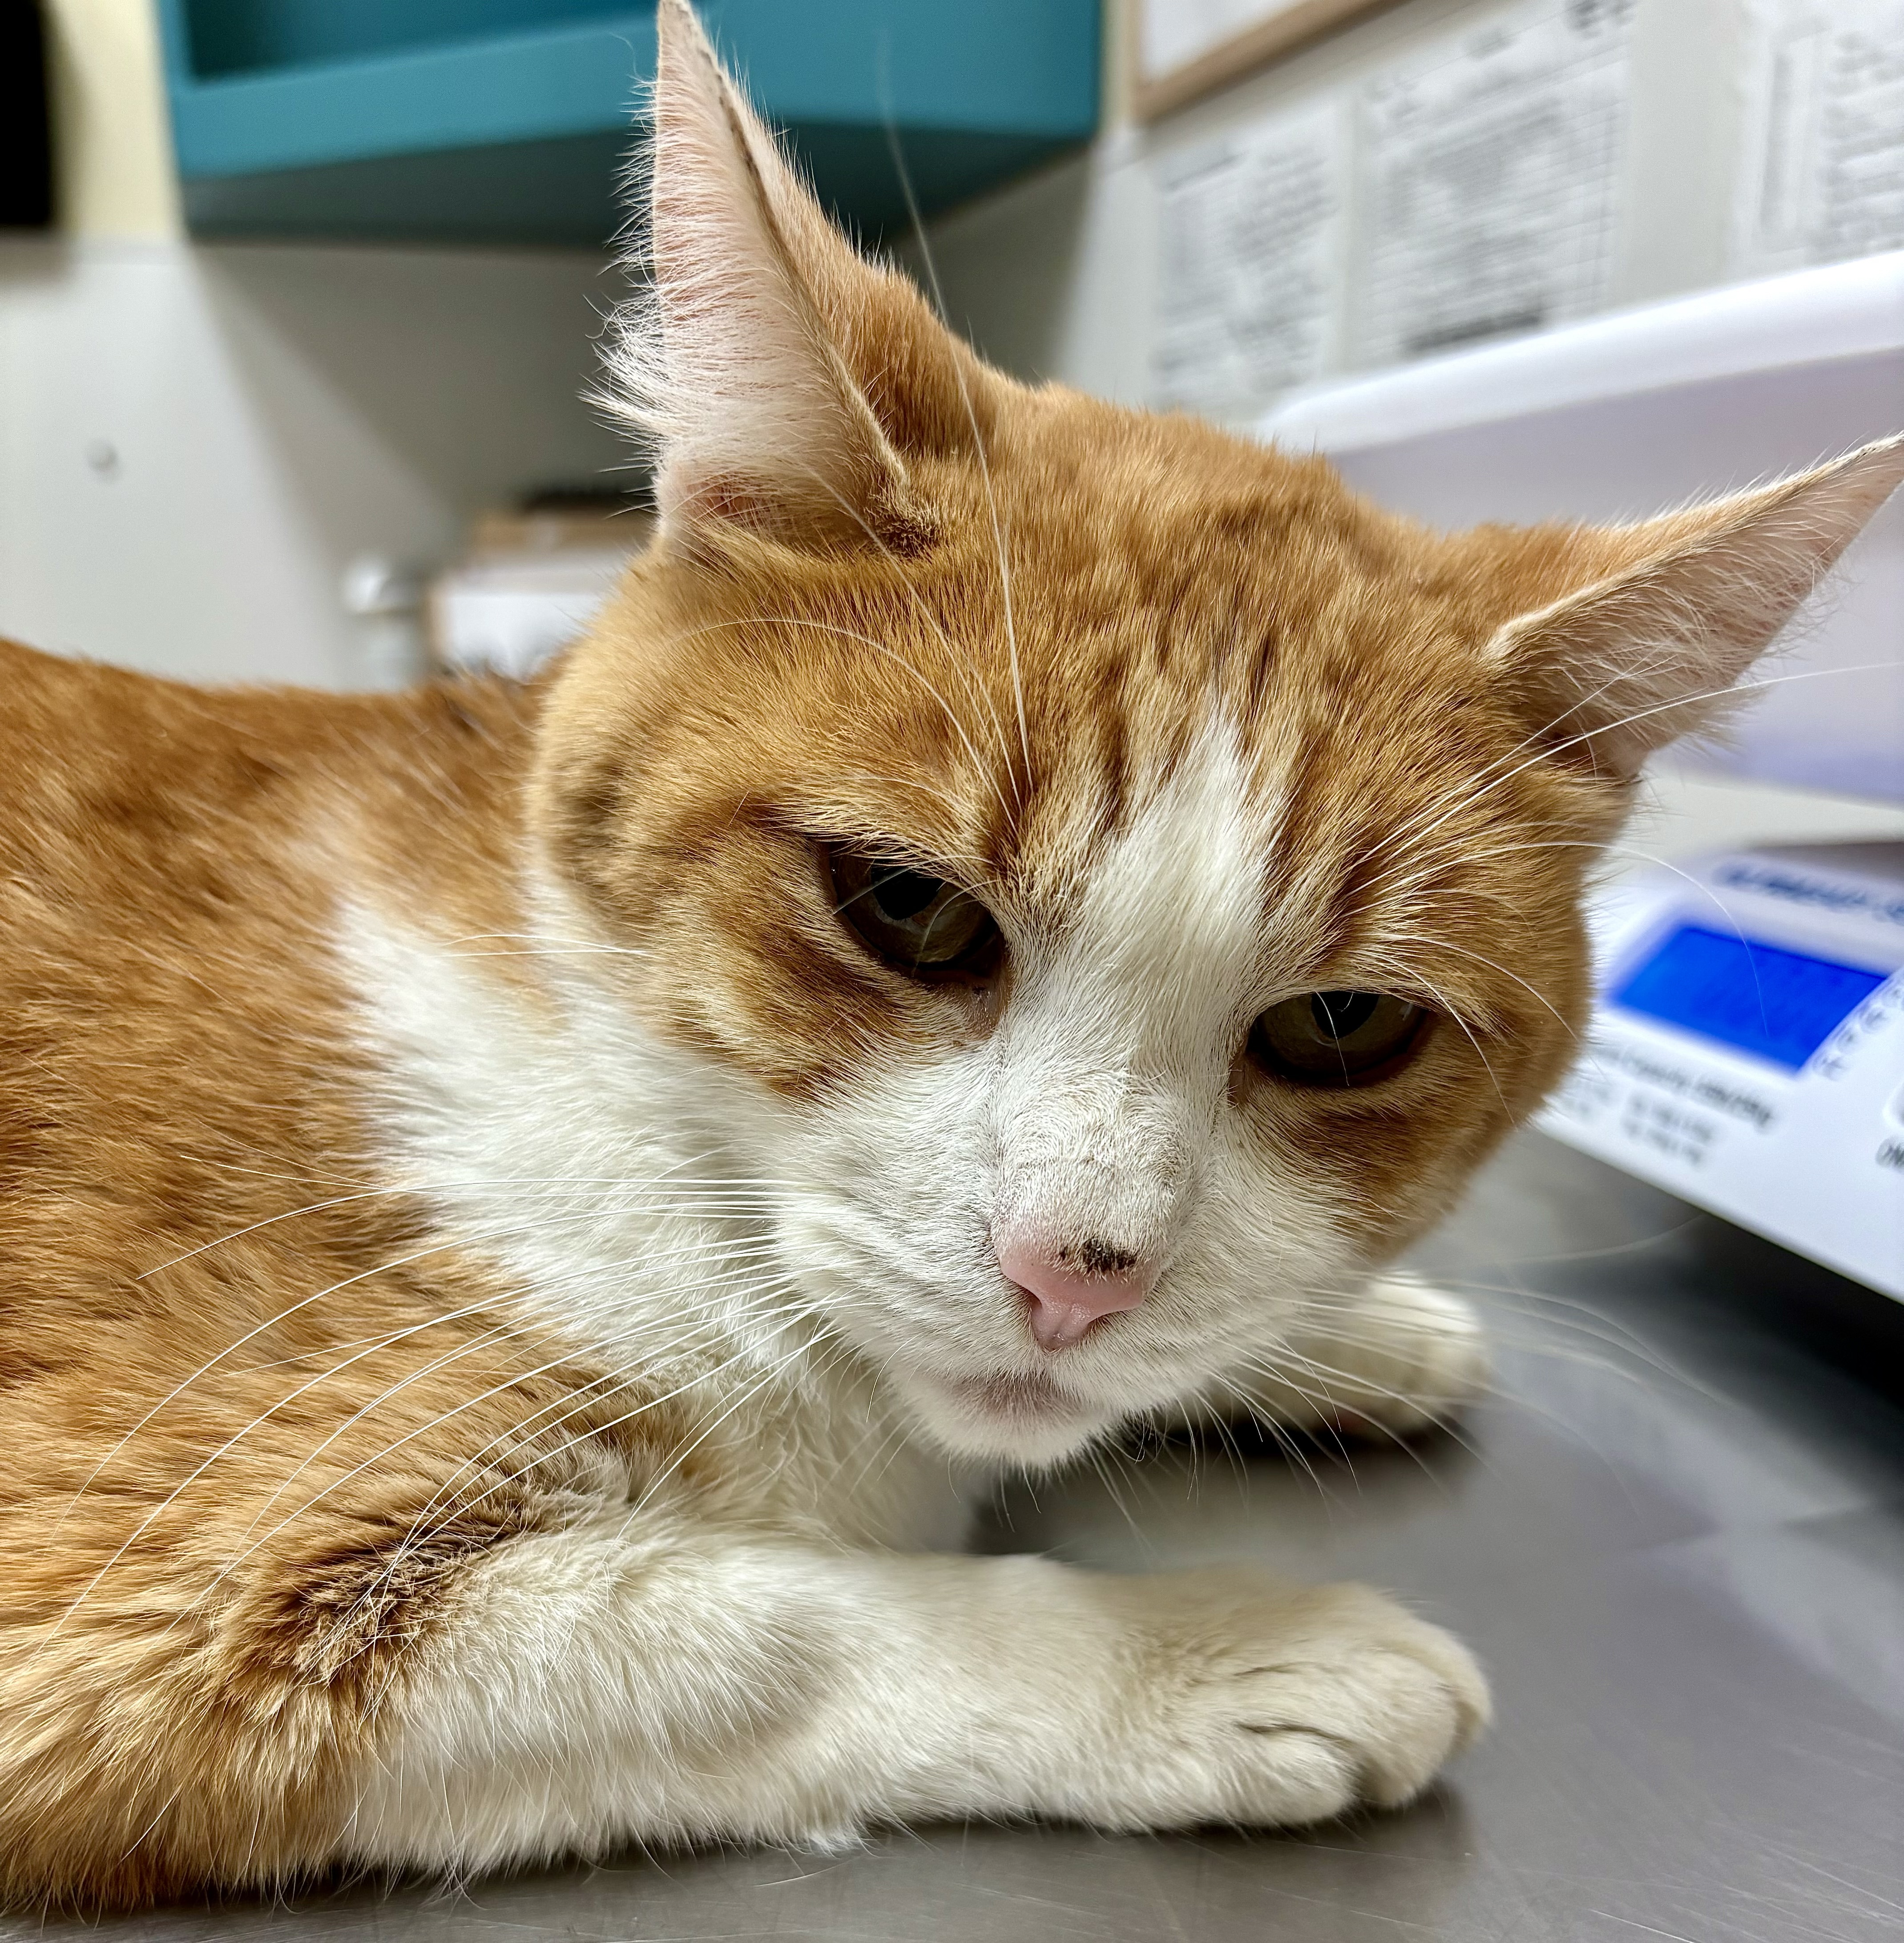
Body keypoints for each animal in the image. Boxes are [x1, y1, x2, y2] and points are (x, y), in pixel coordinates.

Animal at [4, 0, 1904, 1912]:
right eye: (907, 910)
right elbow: (768, 1631)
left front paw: (1342, 1336)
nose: (1078, 1274)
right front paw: (1214, 1653)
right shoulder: (156, 1595)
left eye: (1345, 1025)